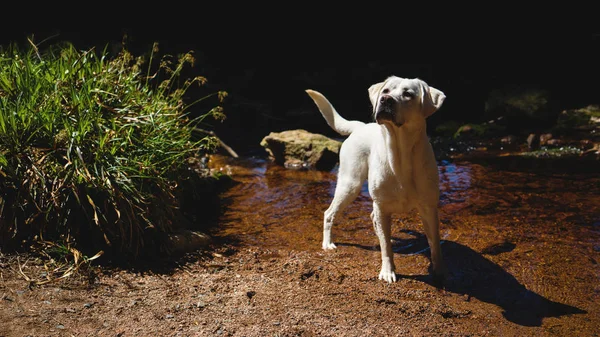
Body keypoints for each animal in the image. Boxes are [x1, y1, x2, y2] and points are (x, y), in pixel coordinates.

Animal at [308, 75, 448, 280]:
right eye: (386, 91)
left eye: (408, 94)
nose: (385, 100)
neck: (400, 155)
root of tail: (360, 126)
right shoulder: (382, 206)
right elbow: (386, 248)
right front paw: (388, 272)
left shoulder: (429, 208)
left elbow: (435, 244)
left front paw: (440, 271)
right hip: (350, 184)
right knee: (329, 213)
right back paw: (328, 243)